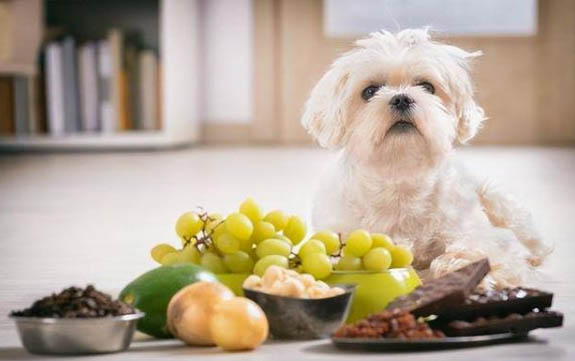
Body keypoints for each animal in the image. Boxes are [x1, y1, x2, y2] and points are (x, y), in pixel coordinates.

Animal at [302, 28, 548, 288]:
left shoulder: (477, 233)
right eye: (369, 91)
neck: (401, 176)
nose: (401, 98)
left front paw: (462, 267)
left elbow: (482, 249)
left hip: (499, 201)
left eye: (427, 87)